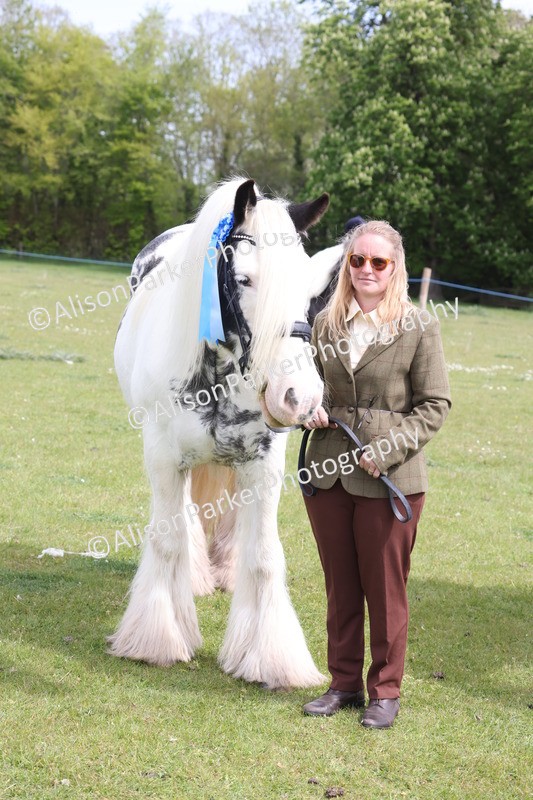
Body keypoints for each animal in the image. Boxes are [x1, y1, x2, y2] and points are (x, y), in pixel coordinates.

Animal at [109, 177, 330, 689]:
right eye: (244, 279)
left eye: (309, 288)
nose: (300, 396)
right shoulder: (164, 460)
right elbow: (167, 541)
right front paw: (157, 639)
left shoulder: (263, 465)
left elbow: (264, 556)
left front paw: (270, 659)